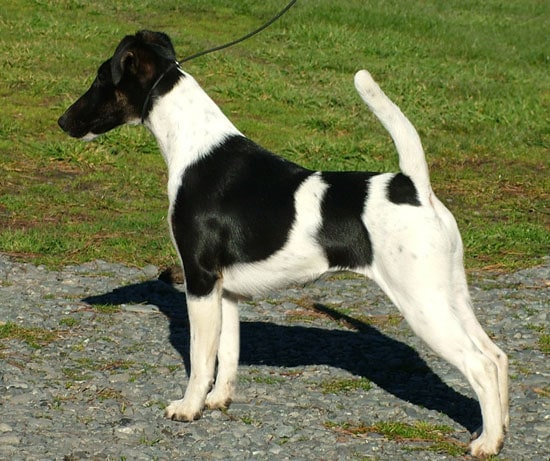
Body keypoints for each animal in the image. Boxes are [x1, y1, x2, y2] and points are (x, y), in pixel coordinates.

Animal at [58, 30, 512, 454]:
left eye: (102, 77)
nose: (62, 122)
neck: (194, 145)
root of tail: (414, 186)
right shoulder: (225, 292)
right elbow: (228, 353)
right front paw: (219, 401)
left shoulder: (200, 279)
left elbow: (201, 358)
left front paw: (188, 408)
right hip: (451, 295)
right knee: (496, 356)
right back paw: (500, 428)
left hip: (422, 305)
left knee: (479, 365)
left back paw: (486, 443)